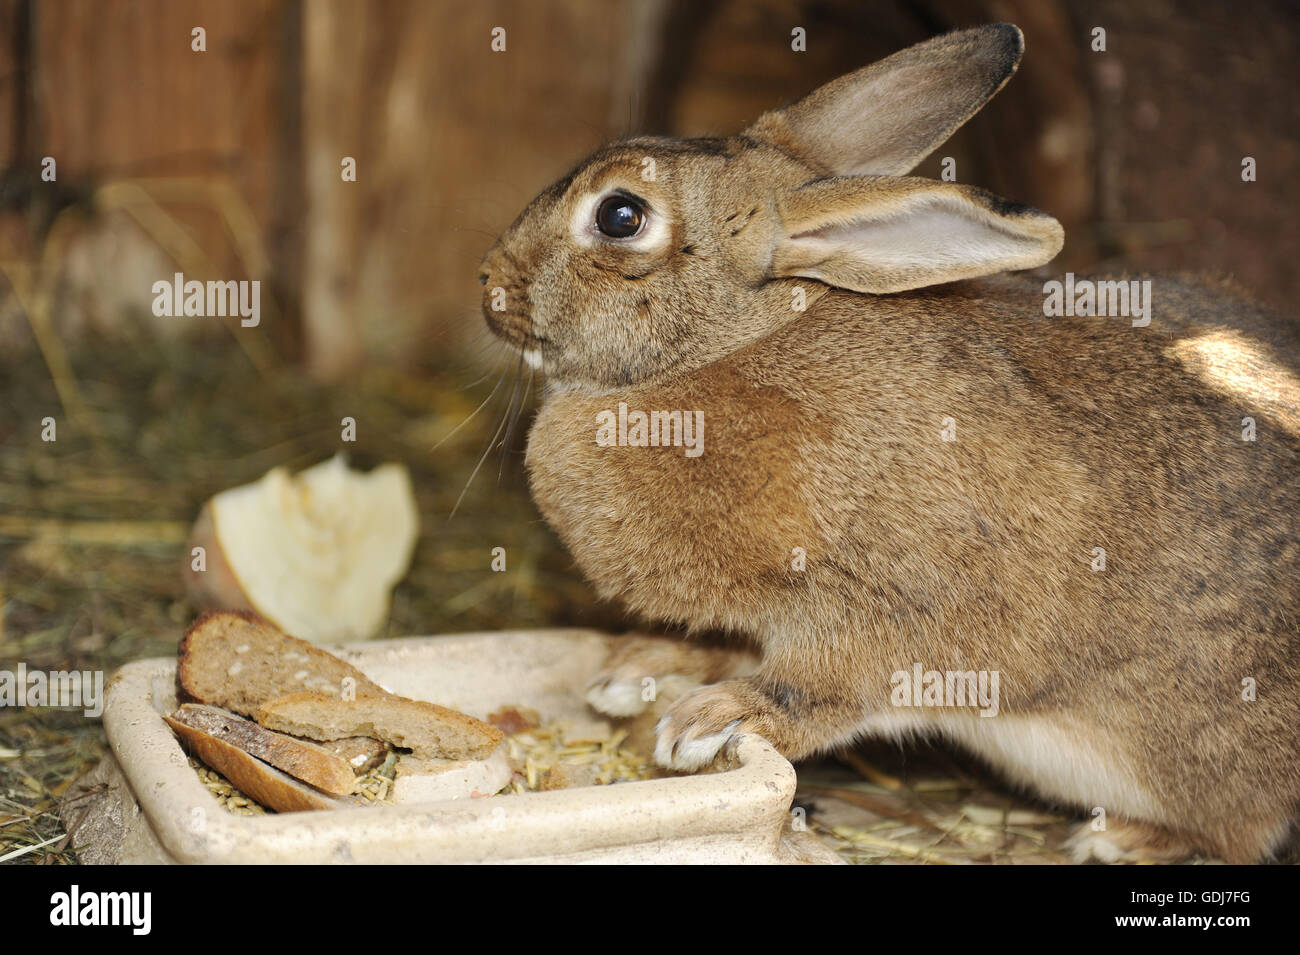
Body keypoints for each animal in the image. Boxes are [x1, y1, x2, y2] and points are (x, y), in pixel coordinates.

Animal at [478, 23, 1300, 864]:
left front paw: (714, 718)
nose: (488, 284)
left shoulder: (893, 606)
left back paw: (1125, 837)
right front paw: (639, 670)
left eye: (620, 216)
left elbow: (831, 684)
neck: (737, 341)